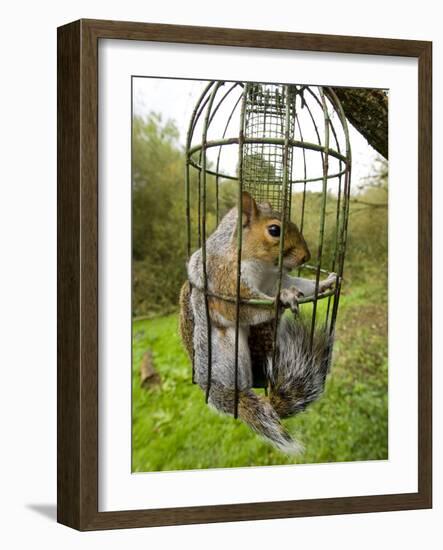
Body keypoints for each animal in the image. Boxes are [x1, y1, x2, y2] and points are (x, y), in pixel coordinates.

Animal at [179, 192, 338, 454]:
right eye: (274, 230)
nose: (306, 257)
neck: (262, 265)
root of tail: (212, 387)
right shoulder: (226, 280)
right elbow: (246, 307)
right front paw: (284, 298)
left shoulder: (276, 279)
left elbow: (299, 284)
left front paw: (325, 282)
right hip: (228, 354)